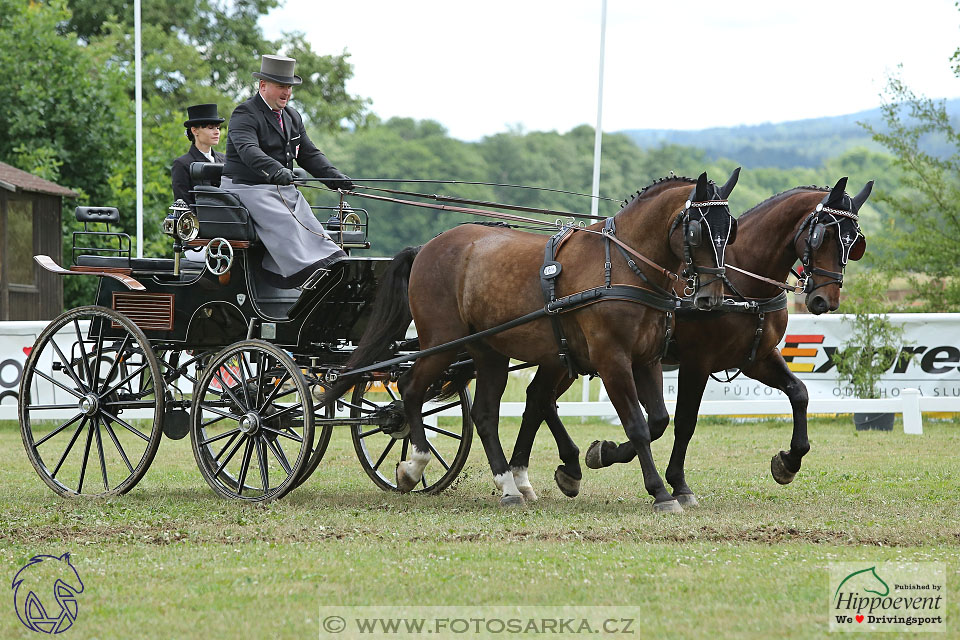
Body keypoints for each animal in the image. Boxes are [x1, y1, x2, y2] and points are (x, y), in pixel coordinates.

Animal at [330, 169, 744, 510]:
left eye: (731, 229)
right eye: (696, 231)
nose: (711, 298)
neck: (625, 267)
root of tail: (427, 247)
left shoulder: (647, 360)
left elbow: (657, 420)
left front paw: (601, 454)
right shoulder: (611, 360)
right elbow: (638, 426)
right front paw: (660, 492)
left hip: (489, 352)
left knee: (484, 413)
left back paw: (508, 486)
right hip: (441, 341)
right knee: (410, 387)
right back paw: (414, 465)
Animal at [568, 178, 876, 502]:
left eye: (855, 241)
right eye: (822, 235)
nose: (825, 300)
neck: (742, 282)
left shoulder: (756, 358)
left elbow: (799, 392)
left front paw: (788, 461)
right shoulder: (697, 362)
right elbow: (684, 421)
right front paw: (676, 481)